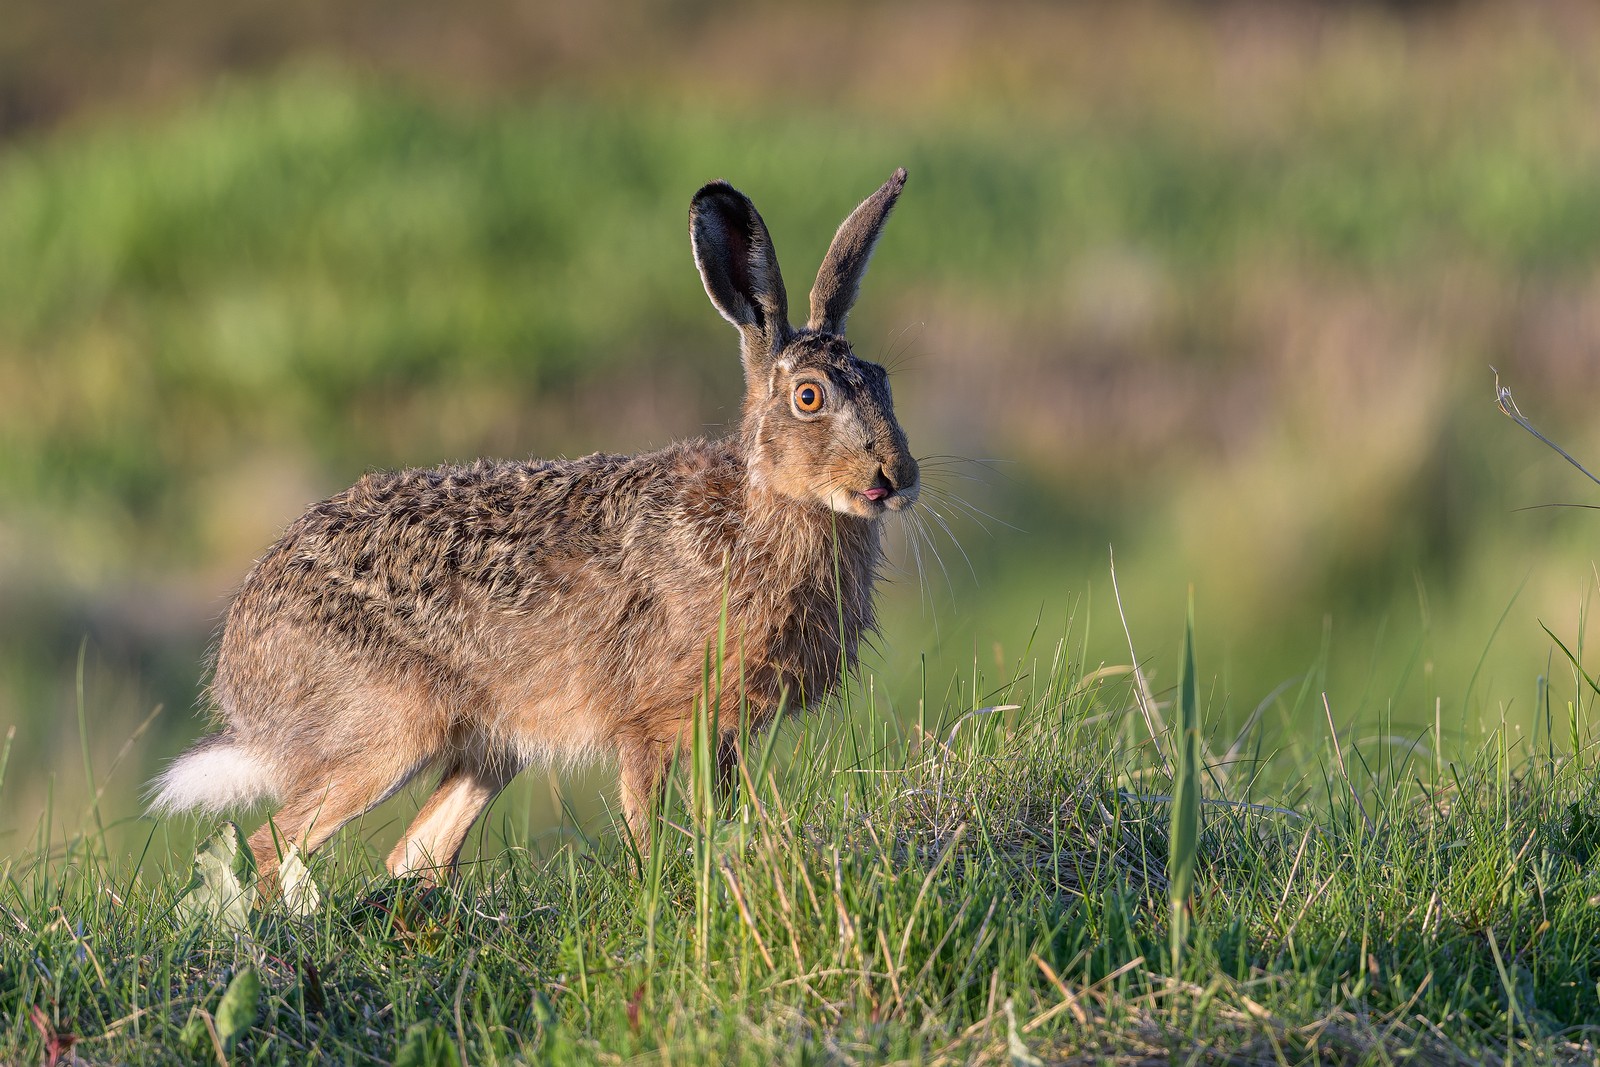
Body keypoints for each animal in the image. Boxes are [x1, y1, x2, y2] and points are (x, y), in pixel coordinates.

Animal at [149, 168, 918, 887]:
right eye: (809, 397)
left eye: (883, 380)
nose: (895, 476)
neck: (764, 505)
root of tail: (241, 665)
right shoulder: (651, 722)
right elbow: (644, 813)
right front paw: (657, 884)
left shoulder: (722, 730)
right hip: (385, 734)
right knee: (266, 849)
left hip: (491, 746)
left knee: (414, 851)